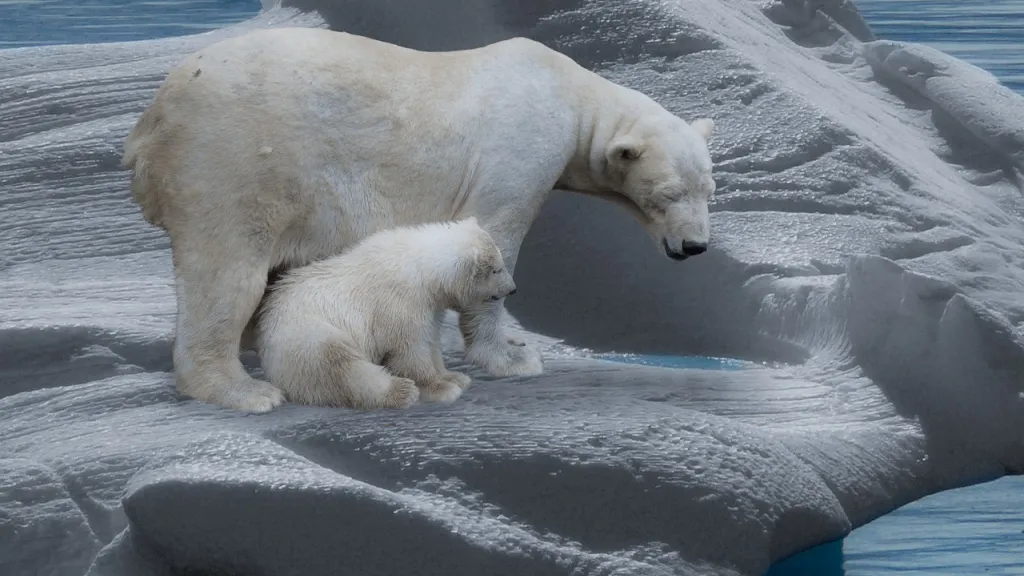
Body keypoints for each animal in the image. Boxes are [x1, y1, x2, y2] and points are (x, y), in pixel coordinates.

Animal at [253, 217, 516, 410]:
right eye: (496, 269)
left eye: (500, 263)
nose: (513, 289)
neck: (421, 268)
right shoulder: (400, 304)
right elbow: (410, 351)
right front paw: (441, 388)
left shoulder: (429, 306)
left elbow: (430, 341)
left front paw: (454, 377)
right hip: (309, 335)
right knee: (343, 367)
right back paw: (401, 391)